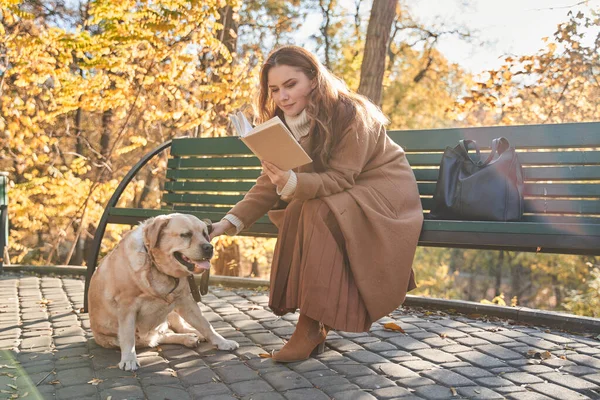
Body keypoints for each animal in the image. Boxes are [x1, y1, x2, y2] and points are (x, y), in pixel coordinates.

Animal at [88, 214, 238, 370]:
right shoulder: (126, 307)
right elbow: (128, 336)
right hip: (115, 338)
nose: (209, 247)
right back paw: (188, 338)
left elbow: (205, 324)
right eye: (186, 235)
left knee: (175, 329)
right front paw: (129, 359)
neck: (157, 268)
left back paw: (192, 334)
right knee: (156, 338)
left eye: (205, 234)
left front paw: (222, 341)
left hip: (172, 310)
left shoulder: (185, 300)